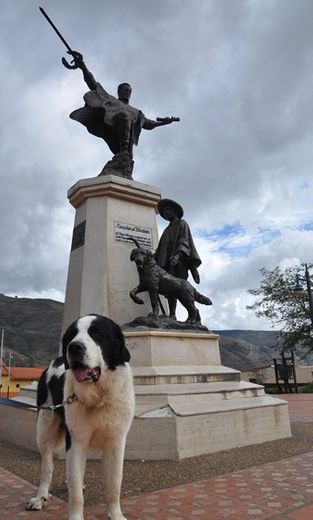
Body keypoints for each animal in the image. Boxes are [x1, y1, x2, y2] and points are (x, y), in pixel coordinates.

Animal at [26, 312, 134, 520]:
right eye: (72, 335)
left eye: (97, 333)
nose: (74, 346)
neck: (98, 396)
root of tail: (55, 361)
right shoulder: (76, 441)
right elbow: (75, 492)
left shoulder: (116, 442)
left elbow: (114, 484)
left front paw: (116, 514)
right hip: (43, 428)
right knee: (47, 467)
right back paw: (40, 498)